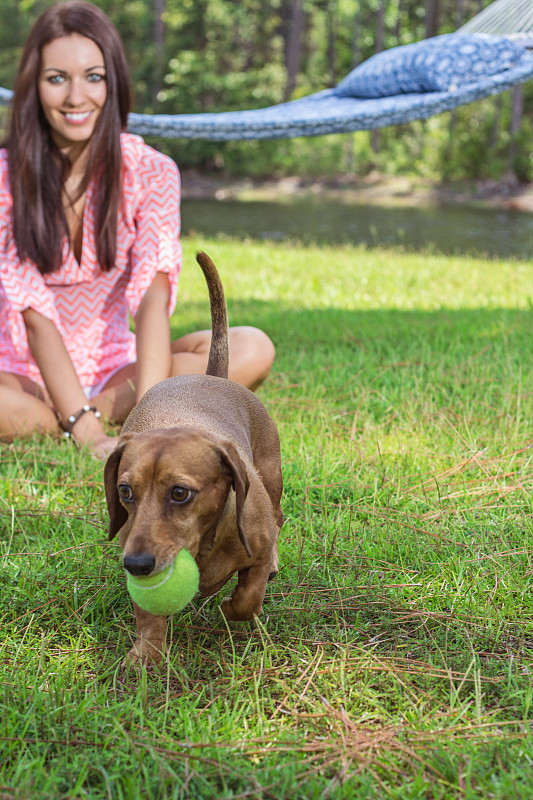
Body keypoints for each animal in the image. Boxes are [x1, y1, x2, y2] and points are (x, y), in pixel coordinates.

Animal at [105, 253, 284, 664]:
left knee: (280, 519)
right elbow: (149, 614)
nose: (136, 565)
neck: (205, 541)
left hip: (273, 476)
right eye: (125, 491)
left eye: (180, 493)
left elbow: (247, 599)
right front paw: (147, 653)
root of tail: (212, 376)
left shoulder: (256, 550)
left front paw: (232, 605)